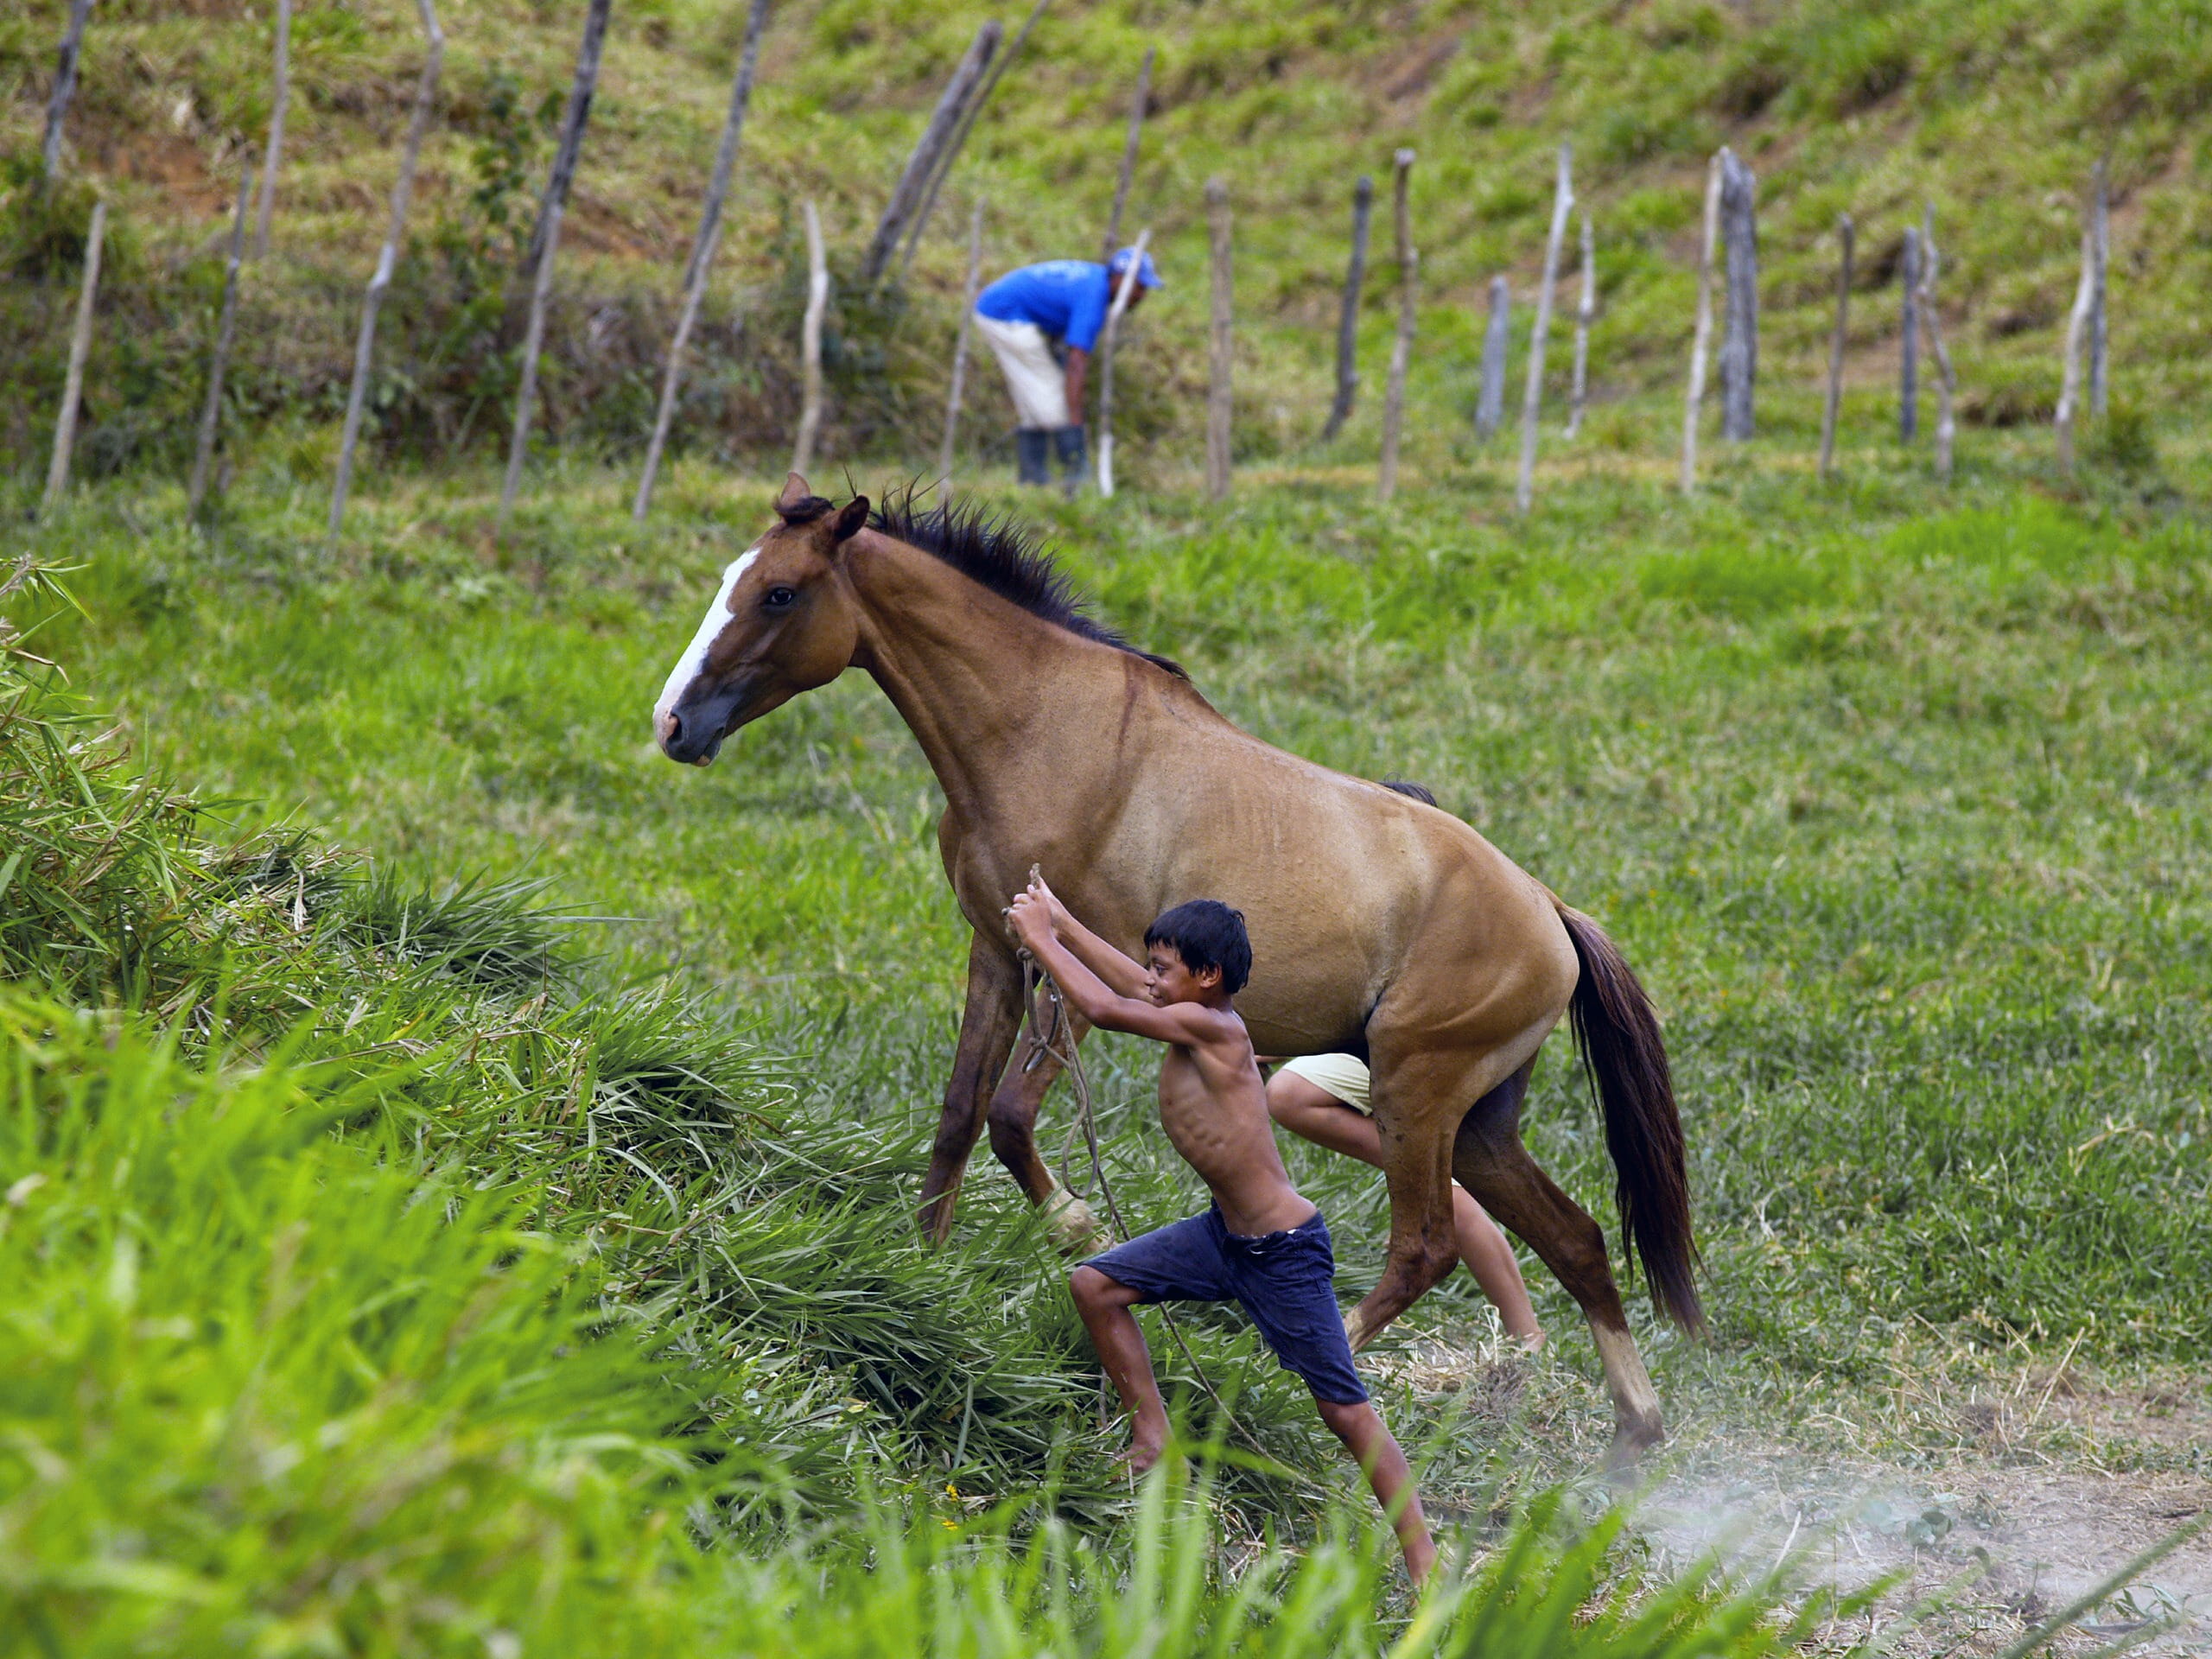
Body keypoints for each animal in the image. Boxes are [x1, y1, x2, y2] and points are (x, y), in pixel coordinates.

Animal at [654, 474, 1701, 1462]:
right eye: (731, 580)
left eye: (780, 593)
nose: (671, 724)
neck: (1046, 733)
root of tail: (1550, 913)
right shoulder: (996, 951)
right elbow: (958, 1117)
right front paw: (924, 1271)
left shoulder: (1094, 977)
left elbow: (1009, 1117)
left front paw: (1076, 1227)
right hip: (1477, 1121)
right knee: (1575, 1240)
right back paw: (1634, 1434)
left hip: (1419, 1092)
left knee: (1427, 1246)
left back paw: (1275, 1368)